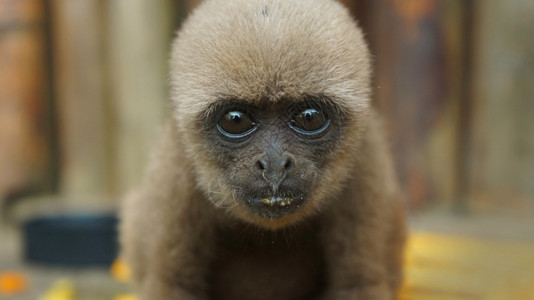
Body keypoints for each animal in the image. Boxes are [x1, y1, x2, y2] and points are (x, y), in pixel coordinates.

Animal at [120, 0, 406, 298]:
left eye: (310, 117)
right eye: (235, 120)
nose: (275, 164)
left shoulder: (366, 163)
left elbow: (357, 285)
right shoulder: (174, 175)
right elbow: (173, 285)